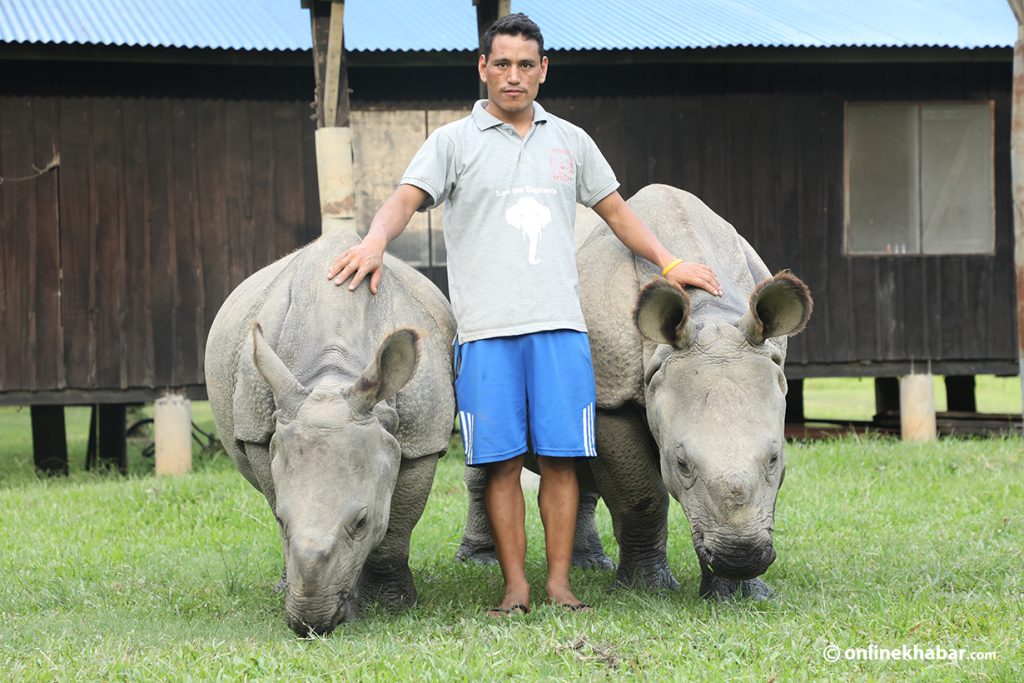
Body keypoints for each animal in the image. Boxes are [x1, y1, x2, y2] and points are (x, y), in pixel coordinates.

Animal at [203, 229, 452, 634]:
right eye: (281, 521)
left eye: (362, 521)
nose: (309, 624)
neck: (334, 378)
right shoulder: (260, 428)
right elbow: (275, 494)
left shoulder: (422, 439)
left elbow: (397, 529)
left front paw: (393, 606)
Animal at [460, 184, 811, 602]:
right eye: (681, 463)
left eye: (775, 459)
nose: (740, 556)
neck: (711, 315)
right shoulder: (611, 401)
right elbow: (640, 496)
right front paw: (645, 592)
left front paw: (741, 594)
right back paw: (480, 561)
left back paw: (590, 564)